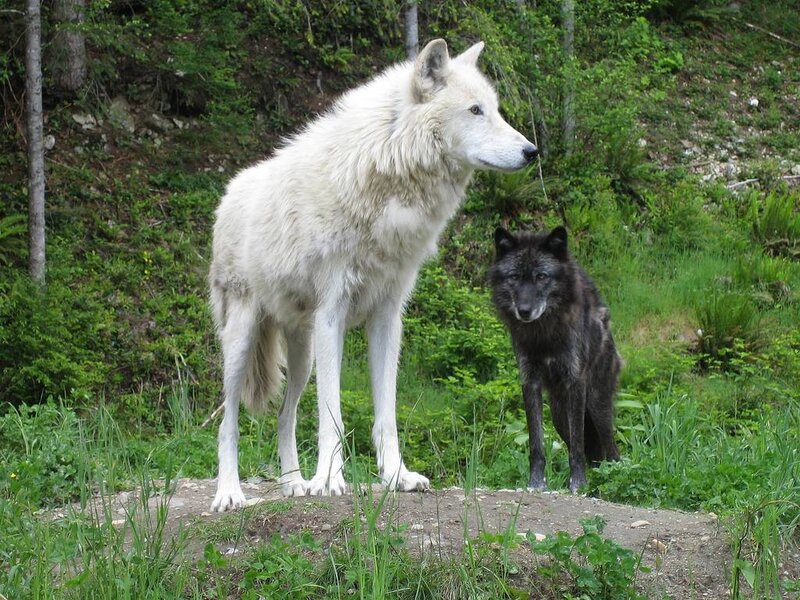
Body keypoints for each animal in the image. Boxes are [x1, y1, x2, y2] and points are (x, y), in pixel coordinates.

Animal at [209, 39, 537, 511]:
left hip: (302, 355)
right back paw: (230, 493)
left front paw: (396, 476)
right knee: (228, 420)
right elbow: (332, 412)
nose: (532, 151)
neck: (387, 170)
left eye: (495, 109)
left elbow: (386, 414)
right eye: (475, 110)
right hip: (242, 340)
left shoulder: (387, 317)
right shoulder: (332, 315)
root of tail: (229, 193)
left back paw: (294, 485)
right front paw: (330, 480)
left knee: (285, 417)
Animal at [489, 226, 621, 493]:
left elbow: (577, 448)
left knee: (611, 451)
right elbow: (536, 443)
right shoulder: (530, 382)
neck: (544, 335)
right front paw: (535, 483)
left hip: (596, 406)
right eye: (514, 277)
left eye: (541, 276)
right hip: (560, 415)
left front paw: (578, 484)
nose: (524, 311)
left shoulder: (575, 381)